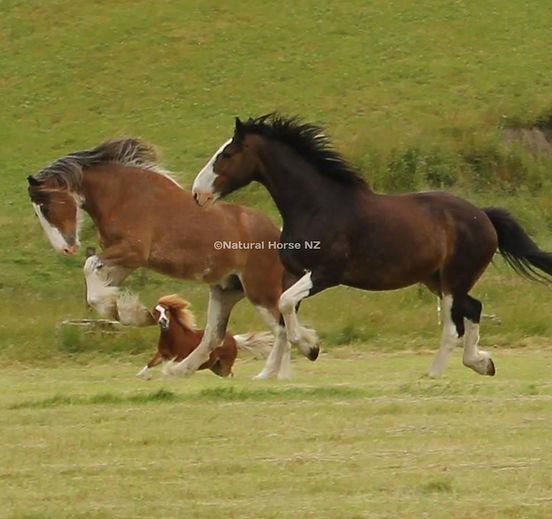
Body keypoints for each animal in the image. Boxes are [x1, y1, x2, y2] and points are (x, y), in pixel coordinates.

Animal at [138, 294, 272, 380]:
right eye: (155, 312)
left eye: (166, 311)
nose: (163, 321)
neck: (174, 338)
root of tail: (233, 339)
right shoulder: (163, 353)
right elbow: (151, 363)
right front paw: (140, 375)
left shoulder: (179, 357)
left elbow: (169, 368)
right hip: (215, 367)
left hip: (225, 364)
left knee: (229, 374)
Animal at [192, 115, 552, 378]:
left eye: (226, 155)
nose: (198, 194)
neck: (316, 206)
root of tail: (483, 215)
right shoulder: (292, 273)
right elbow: (282, 316)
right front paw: (270, 375)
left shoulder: (324, 274)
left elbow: (284, 305)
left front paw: (311, 346)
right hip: (436, 279)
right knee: (473, 309)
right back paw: (481, 363)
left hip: (454, 279)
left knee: (454, 325)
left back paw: (433, 375)